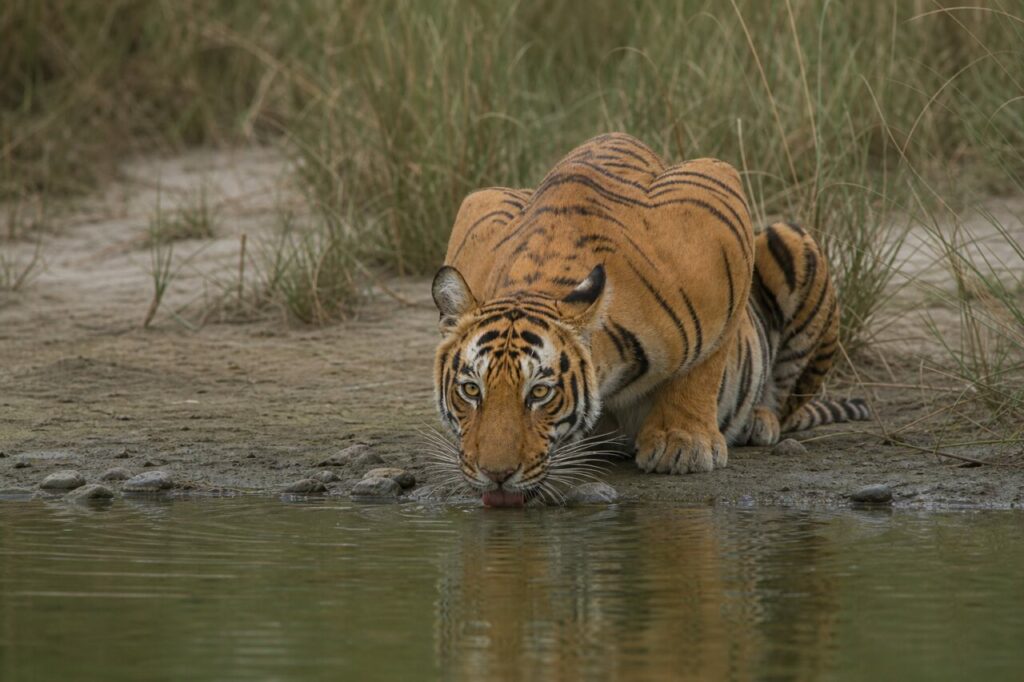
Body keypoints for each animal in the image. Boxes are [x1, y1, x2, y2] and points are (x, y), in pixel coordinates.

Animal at [431, 133, 868, 506]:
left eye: (540, 393)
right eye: (470, 390)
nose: (496, 475)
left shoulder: (716, 196)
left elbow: (705, 363)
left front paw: (683, 443)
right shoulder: (481, 204)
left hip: (791, 241)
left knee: (786, 397)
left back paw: (758, 421)